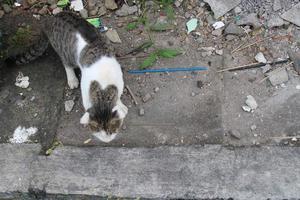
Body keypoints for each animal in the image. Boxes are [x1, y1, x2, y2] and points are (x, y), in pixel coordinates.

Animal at [15, 11, 127, 142]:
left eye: (112, 131)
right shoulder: (86, 90)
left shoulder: (119, 80)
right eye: (98, 132)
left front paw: (120, 105)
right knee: (66, 63)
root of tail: (51, 19)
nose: (107, 141)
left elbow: (118, 96)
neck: (104, 88)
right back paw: (72, 78)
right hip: (64, 50)